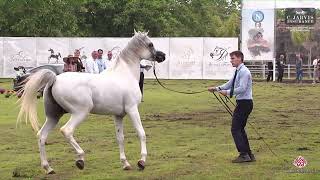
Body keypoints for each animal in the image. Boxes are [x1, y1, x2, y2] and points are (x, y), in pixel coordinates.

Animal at [18, 31, 165, 174]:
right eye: (150, 44)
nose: (162, 56)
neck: (125, 74)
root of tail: (55, 79)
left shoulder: (118, 115)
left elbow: (120, 138)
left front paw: (125, 164)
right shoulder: (132, 109)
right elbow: (141, 133)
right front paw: (142, 162)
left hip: (54, 116)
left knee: (41, 136)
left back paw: (48, 168)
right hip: (80, 112)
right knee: (66, 130)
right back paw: (80, 159)